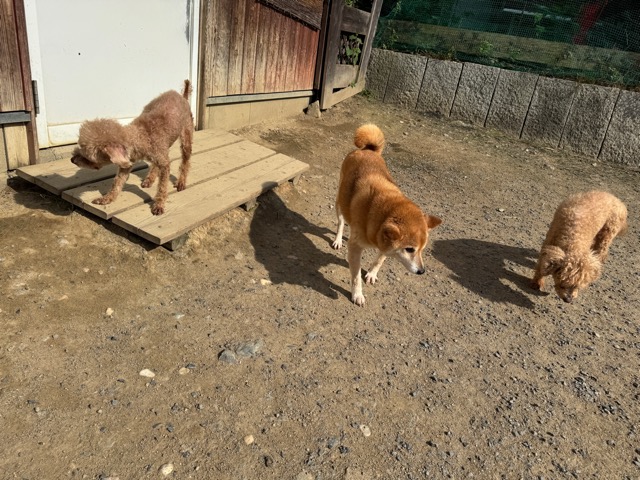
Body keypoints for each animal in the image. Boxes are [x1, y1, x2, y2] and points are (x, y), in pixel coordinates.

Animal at [71, 80, 194, 215]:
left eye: (88, 157)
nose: (72, 160)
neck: (141, 136)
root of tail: (183, 96)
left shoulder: (164, 164)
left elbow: (162, 187)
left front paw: (159, 204)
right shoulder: (127, 163)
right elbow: (117, 182)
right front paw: (107, 198)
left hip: (186, 138)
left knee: (185, 162)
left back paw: (181, 182)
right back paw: (149, 179)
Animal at [332, 124, 442, 306]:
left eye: (422, 249)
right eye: (410, 249)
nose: (422, 271)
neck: (378, 213)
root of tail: (368, 150)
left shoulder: (385, 244)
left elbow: (379, 260)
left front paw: (371, 273)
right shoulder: (355, 247)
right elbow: (355, 277)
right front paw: (357, 294)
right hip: (340, 202)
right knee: (341, 222)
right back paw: (338, 240)